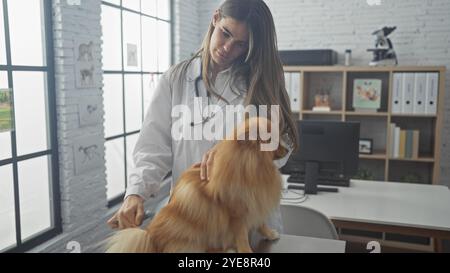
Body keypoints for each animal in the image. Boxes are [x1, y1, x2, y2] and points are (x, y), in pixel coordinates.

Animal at [105, 116, 286, 252]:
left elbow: (261, 223)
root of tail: (151, 237)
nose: (288, 148)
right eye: (274, 140)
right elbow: (241, 237)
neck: (253, 168)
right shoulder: (237, 213)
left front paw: (270, 234)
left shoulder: (257, 202)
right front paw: (246, 251)